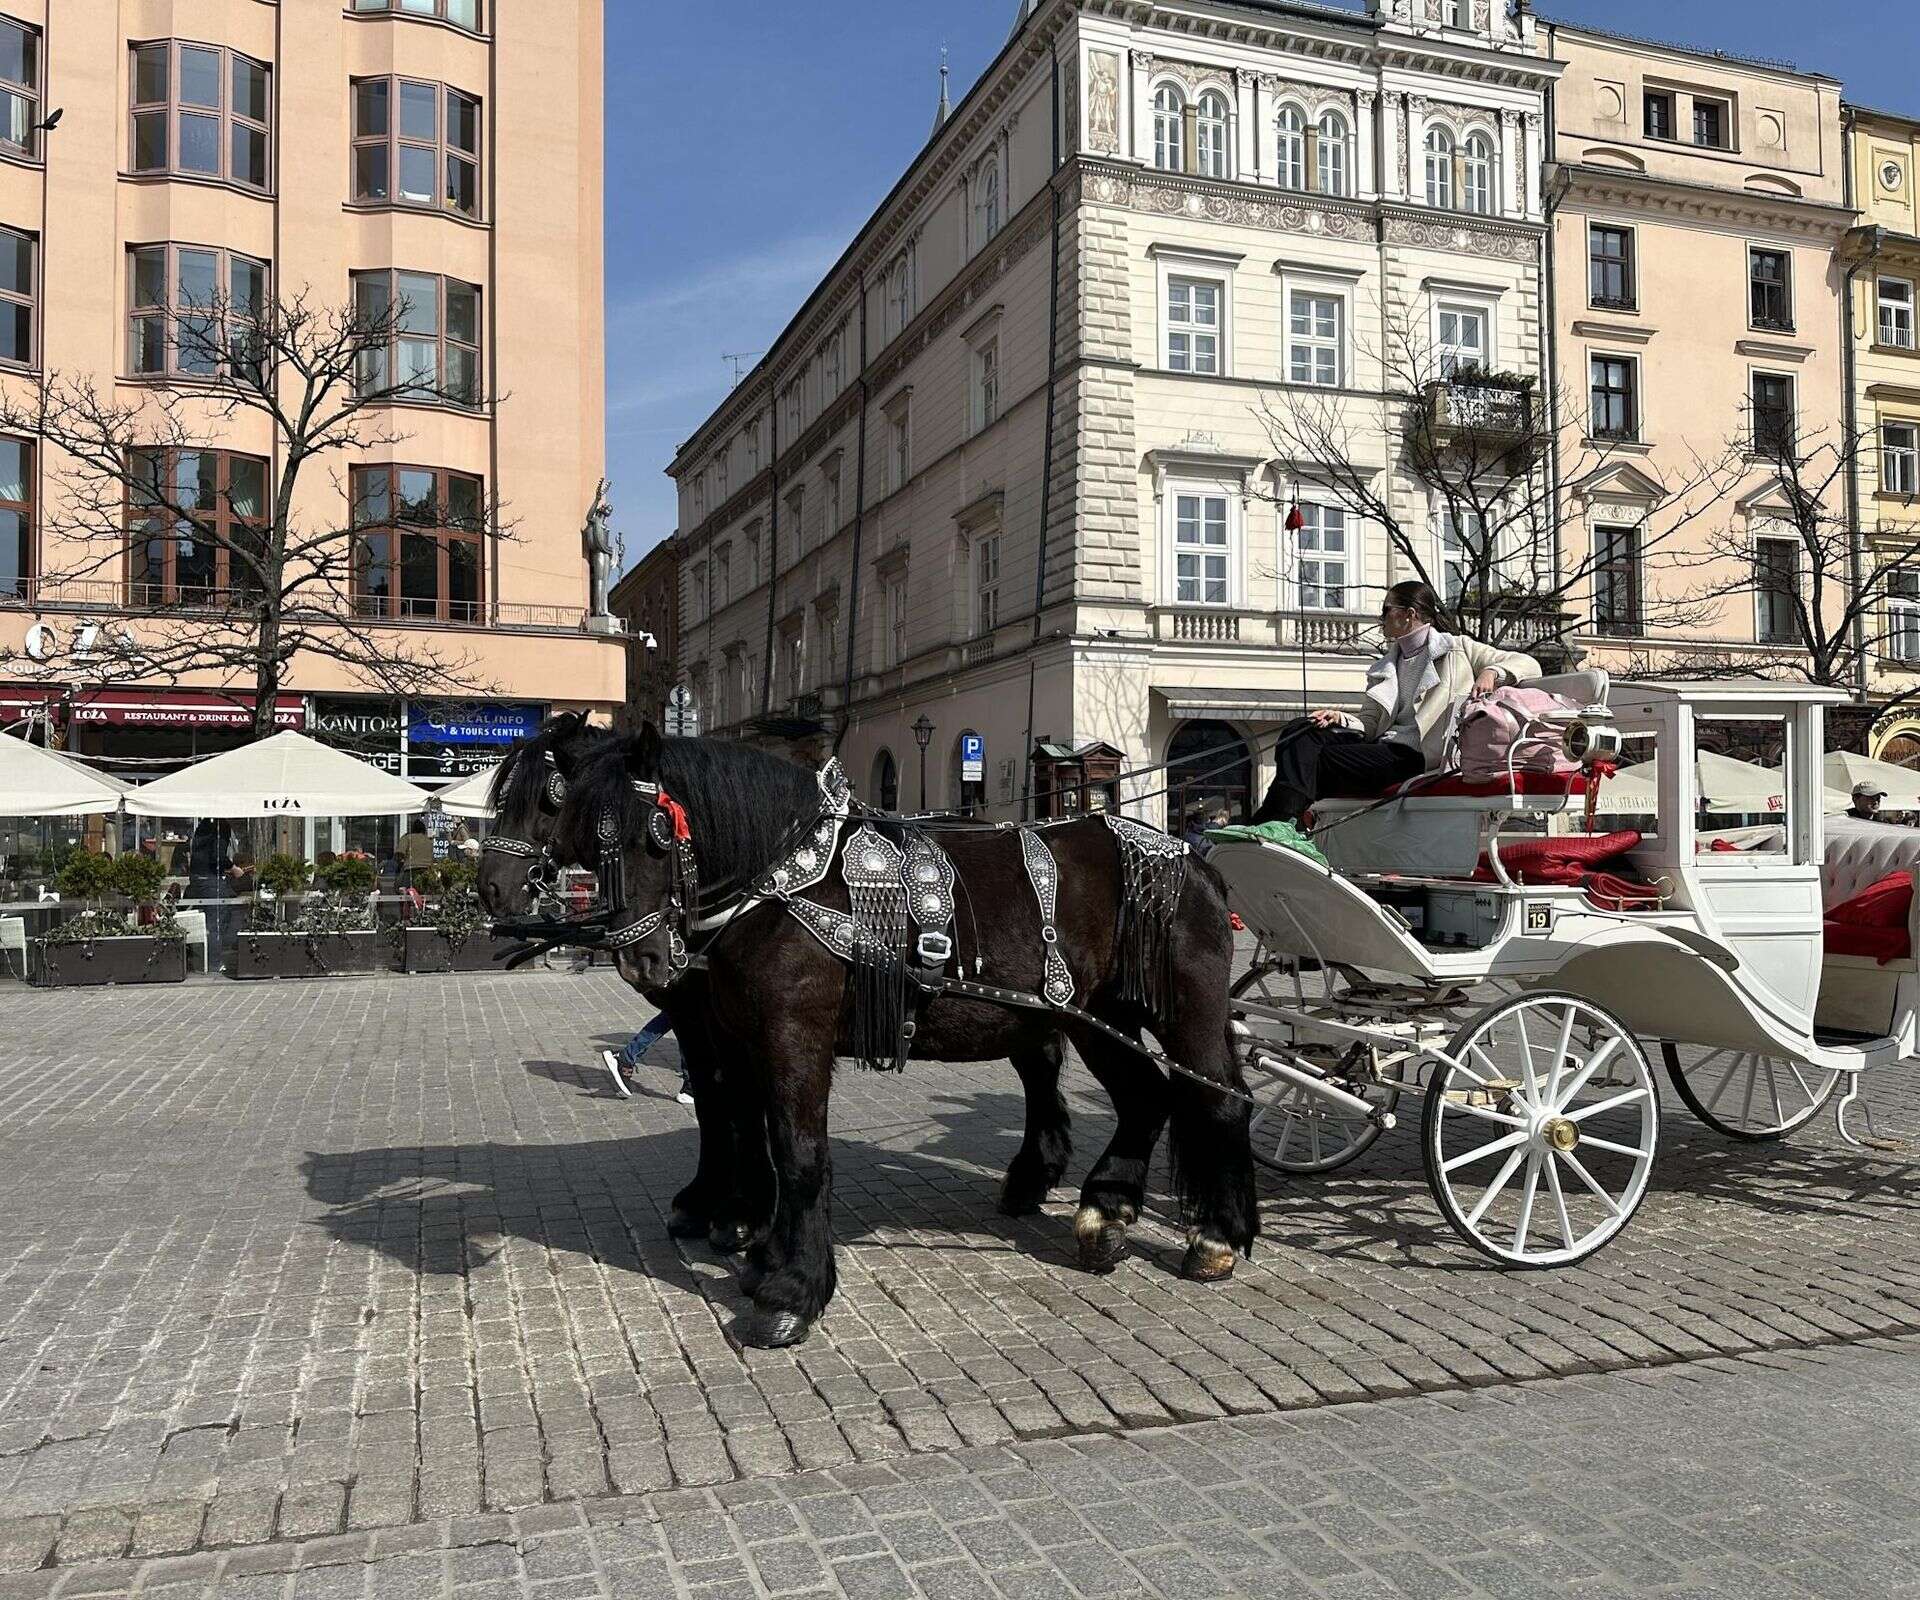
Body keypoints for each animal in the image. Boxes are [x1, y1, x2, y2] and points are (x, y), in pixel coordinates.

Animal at [476, 710, 1082, 1244]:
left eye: (553, 797)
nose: (491, 889)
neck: (766, 880)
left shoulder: (733, 1019)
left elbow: (736, 1103)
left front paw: (738, 1210)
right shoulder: (704, 1018)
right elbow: (724, 1101)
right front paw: (719, 1201)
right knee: (1041, 1065)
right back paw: (1034, 1177)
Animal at [549, 722, 1251, 1352]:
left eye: (655, 833)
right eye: (580, 839)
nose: (640, 961)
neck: (786, 888)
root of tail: (1197, 861)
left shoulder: (792, 1038)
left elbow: (799, 1155)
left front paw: (791, 1292)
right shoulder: (736, 1039)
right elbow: (750, 1133)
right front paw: (759, 1252)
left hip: (1183, 1012)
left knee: (1217, 1101)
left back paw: (1216, 1238)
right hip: (1096, 1017)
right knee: (1144, 1098)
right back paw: (1105, 1214)